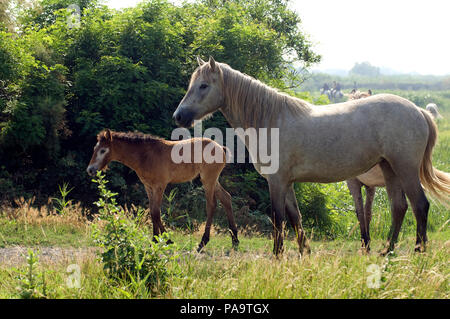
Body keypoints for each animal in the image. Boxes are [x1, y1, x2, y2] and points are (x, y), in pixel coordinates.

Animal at [172, 57, 450, 256]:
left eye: (204, 86)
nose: (179, 116)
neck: (270, 120)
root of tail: (418, 110)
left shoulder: (277, 181)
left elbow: (278, 218)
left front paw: (277, 255)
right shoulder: (287, 182)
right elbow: (295, 217)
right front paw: (303, 251)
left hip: (405, 169)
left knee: (419, 205)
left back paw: (418, 250)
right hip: (389, 169)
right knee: (399, 207)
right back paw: (387, 250)